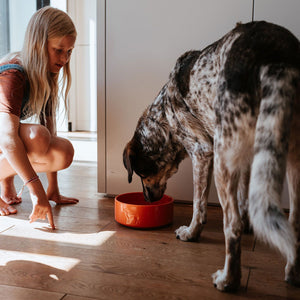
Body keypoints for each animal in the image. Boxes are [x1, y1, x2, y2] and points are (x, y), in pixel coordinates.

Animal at [122, 21, 300, 292]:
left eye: (141, 173)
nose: (147, 199)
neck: (165, 117)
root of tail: (276, 53)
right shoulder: (245, 156)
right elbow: (244, 199)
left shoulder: (203, 152)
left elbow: (199, 205)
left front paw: (191, 233)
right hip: (291, 155)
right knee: (295, 223)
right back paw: (293, 272)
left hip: (224, 159)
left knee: (231, 225)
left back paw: (228, 280)